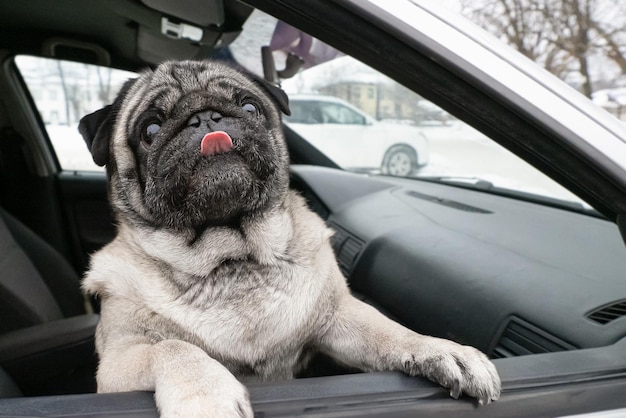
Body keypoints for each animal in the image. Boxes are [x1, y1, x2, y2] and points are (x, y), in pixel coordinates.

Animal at [78, 59, 500, 418]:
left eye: (249, 108)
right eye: (150, 130)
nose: (205, 117)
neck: (233, 257)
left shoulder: (337, 318)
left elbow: (391, 332)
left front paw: (441, 350)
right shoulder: (117, 362)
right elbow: (173, 347)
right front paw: (205, 397)